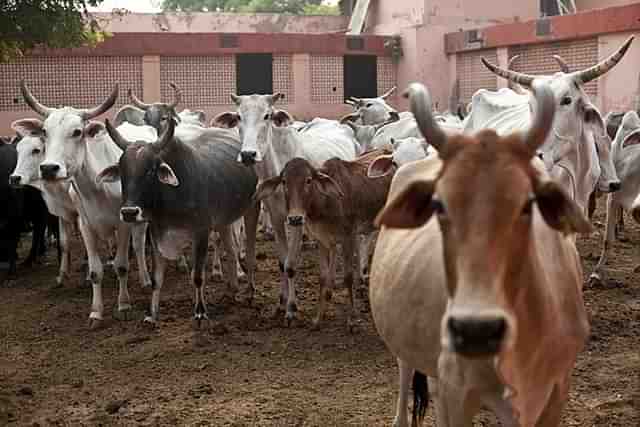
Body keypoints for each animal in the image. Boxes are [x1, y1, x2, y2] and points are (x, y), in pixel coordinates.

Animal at [212, 95, 358, 326]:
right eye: (238, 117)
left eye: (267, 115)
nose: (248, 154)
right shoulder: (277, 217)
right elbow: (282, 262)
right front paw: (281, 303)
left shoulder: (297, 220)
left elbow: (291, 264)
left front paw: (291, 309)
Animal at [254, 150, 396, 332]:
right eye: (284, 181)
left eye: (308, 180)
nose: (295, 218)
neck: (325, 202)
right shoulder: (321, 240)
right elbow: (322, 277)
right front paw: (318, 319)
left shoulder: (348, 237)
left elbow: (348, 277)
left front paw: (352, 319)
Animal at [368, 80, 592, 427]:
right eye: (438, 204)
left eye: (528, 203)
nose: (476, 329)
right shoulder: (458, 393)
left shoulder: (556, 391)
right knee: (405, 374)